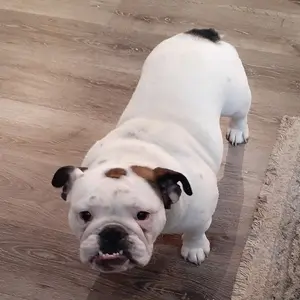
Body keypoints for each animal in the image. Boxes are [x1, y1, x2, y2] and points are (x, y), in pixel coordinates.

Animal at [51, 28, 251, 274]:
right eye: (84, 215)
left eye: (142, 215)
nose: (111, 231)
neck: (132, 156)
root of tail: (202, 34)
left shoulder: (201, 214)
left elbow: (196, 231)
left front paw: (194, 248)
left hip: (237, 97)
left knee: (240, 114)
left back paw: (238, 131)